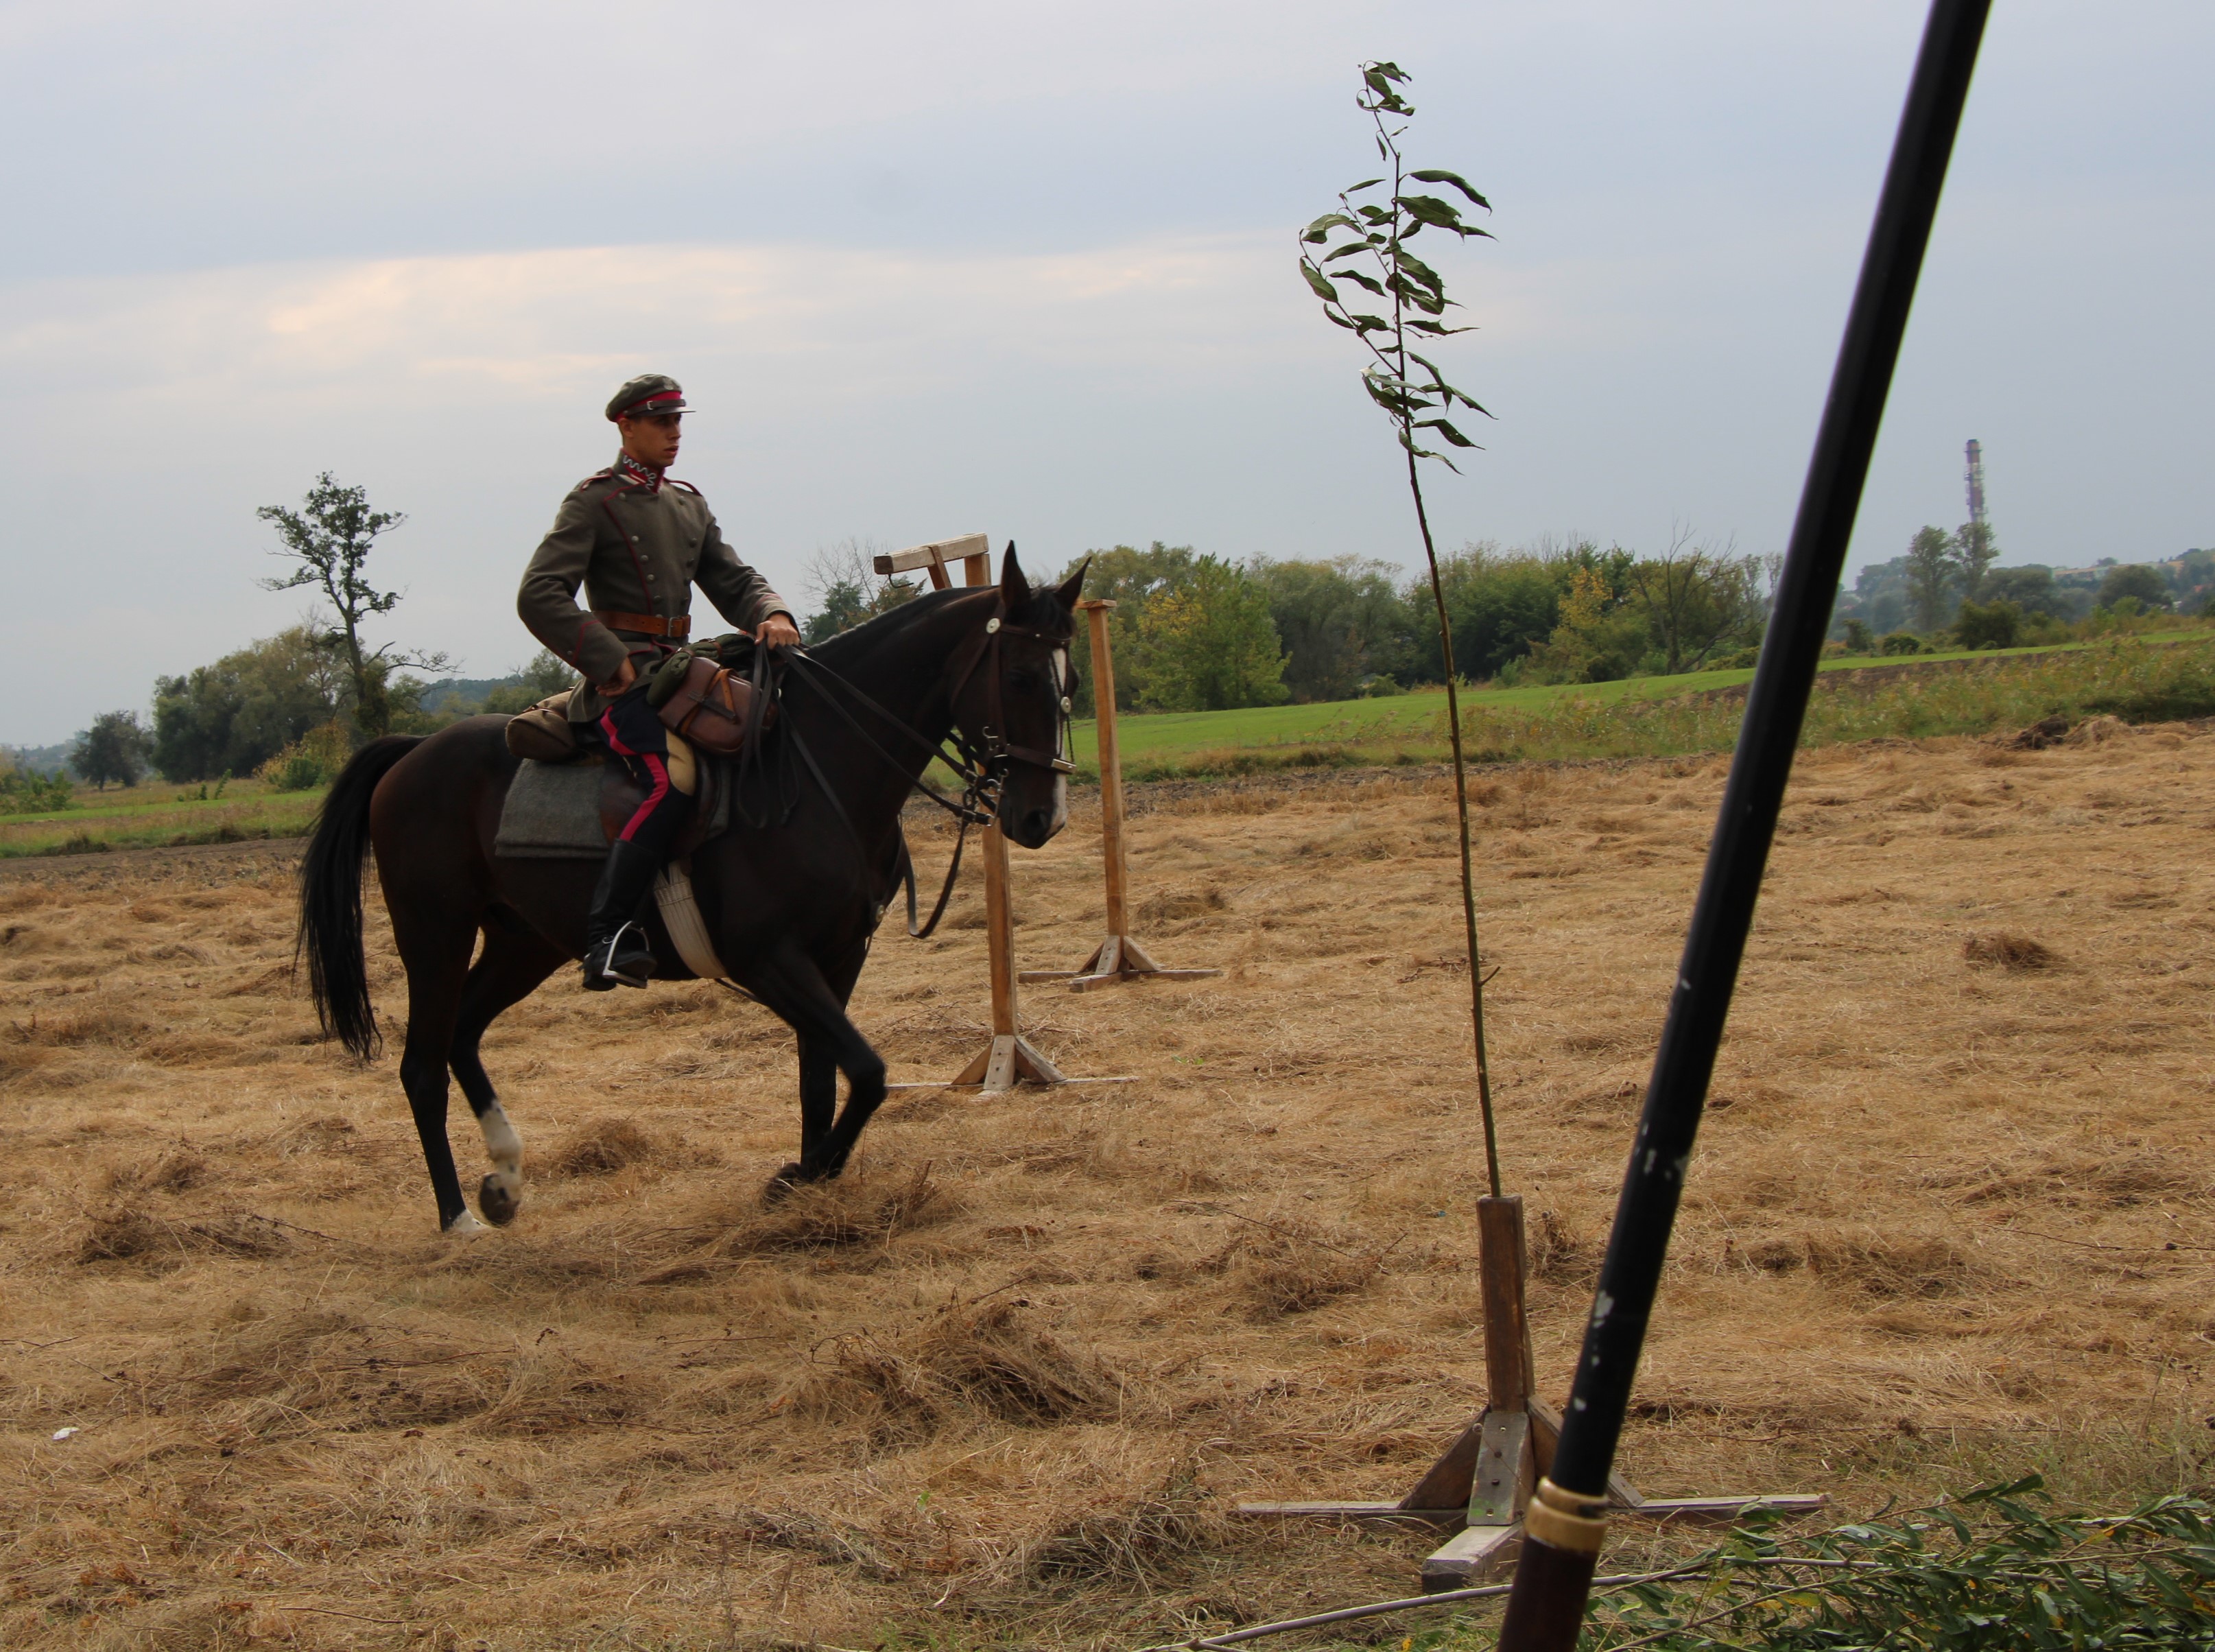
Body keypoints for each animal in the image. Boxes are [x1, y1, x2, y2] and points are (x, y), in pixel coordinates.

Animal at [301, 547, 1080, 1231]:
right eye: (1018, 675)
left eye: (1069, 684)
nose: (1042, 817)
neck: (817, 766)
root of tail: (412, 754)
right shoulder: (768, 959)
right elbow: (867, 1071)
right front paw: (797, 1175)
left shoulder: (837, 957)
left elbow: (823, 1075)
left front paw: (810, 1182)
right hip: (434, 935)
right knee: (422, 1065)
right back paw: (457, 1216)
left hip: (523, 943)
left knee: (462, 1034)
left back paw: (504, 1180)